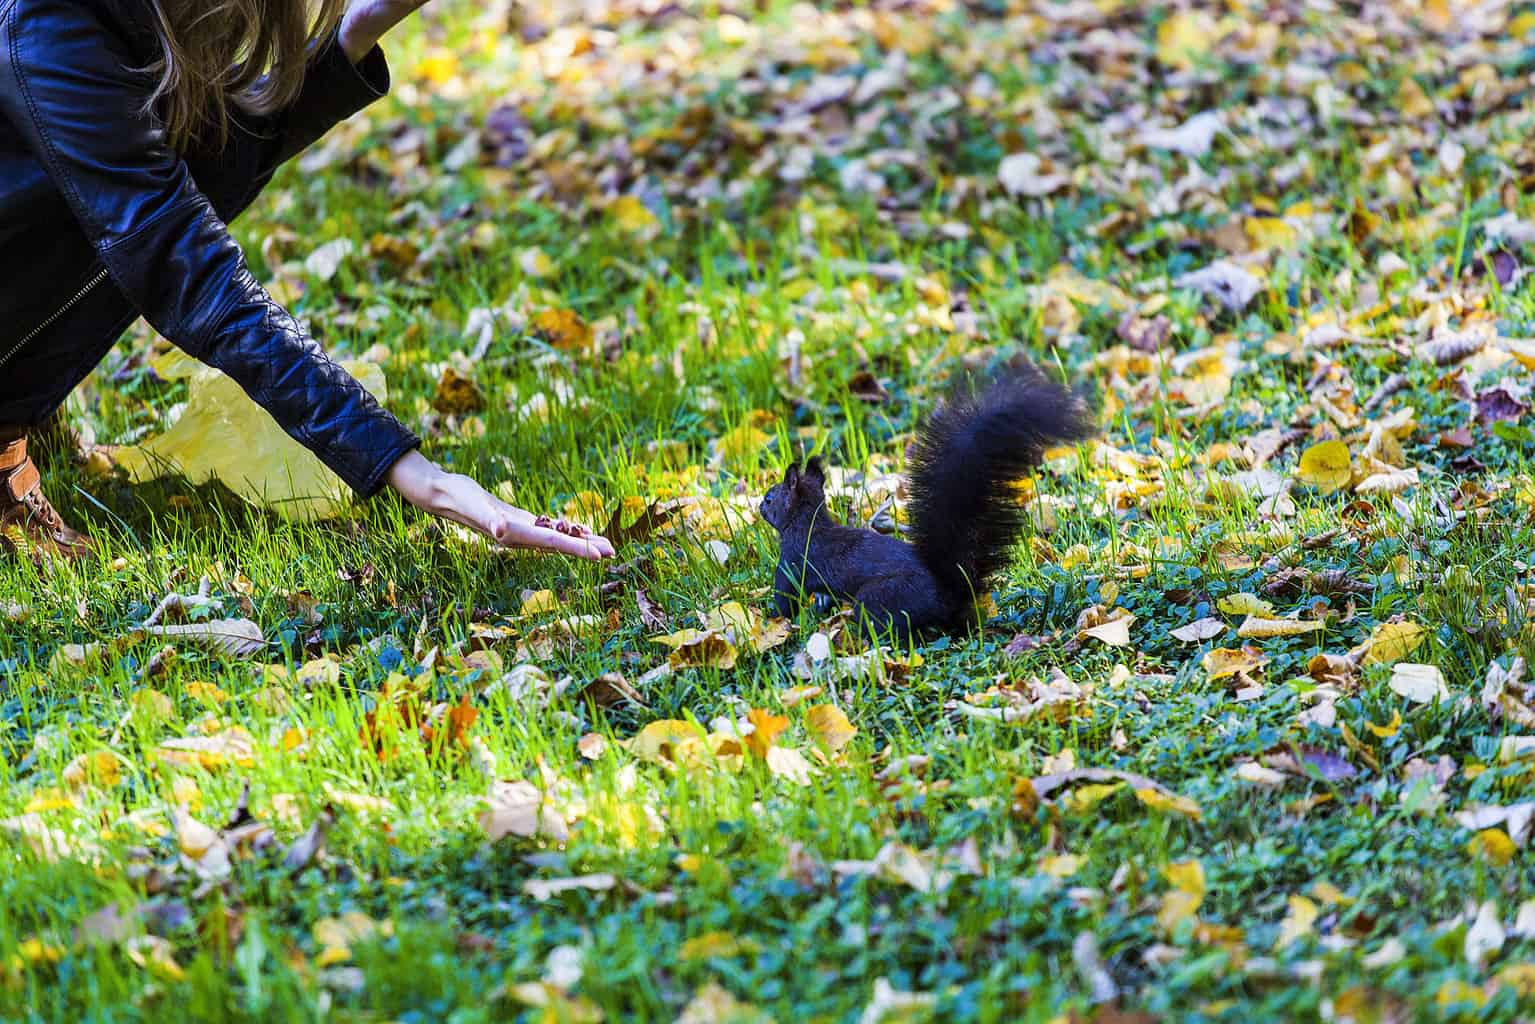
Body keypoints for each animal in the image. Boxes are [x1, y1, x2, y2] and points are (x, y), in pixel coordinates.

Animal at [755, 366, 1092, 641]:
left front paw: (771, 620)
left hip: (879, 599)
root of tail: (949, 594)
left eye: (770, 498)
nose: (759, 507)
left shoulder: (791, 563)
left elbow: (784, 599)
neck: (807, 524)